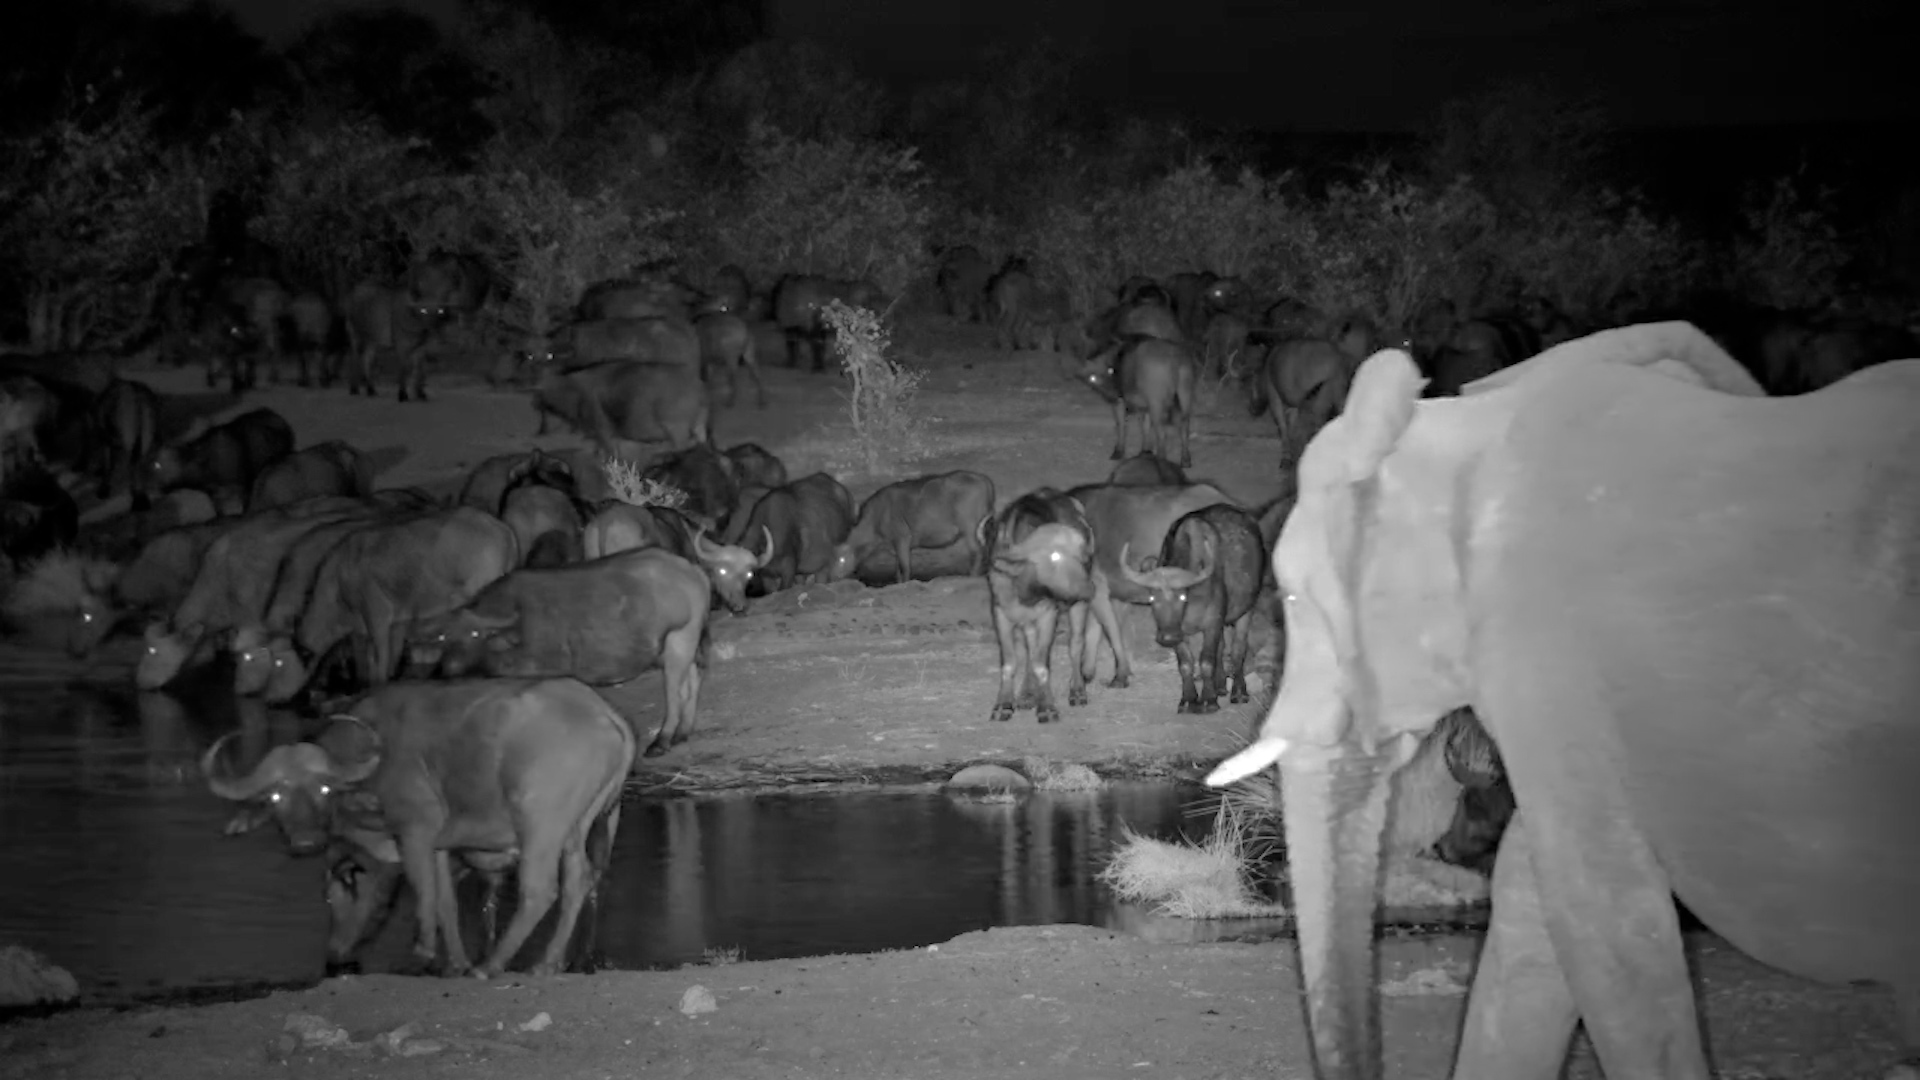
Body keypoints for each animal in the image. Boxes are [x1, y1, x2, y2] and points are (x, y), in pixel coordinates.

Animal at [204, 678, 632, 977]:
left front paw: (423, 955)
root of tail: (602, 714)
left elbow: (424, 892)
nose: (306, 842)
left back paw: (491, 965)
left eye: (324, 787)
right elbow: (445, 901)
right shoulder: (439, 844)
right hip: (583, 826)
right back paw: (546, 963)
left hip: (541, 826)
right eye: (274, 796)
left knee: (540, 890)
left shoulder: (415, 830)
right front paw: (454, 962)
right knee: (579, 881)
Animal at [407, 547, 711, 757]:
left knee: (675, 691)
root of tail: (690, 570)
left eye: (475, 635)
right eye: (443, 639)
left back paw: (663, 739)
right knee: (692, 681)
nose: (450, 669)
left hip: (679, 640)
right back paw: (683, 732)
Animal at [826, 470, 995, 584]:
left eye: (841, 559)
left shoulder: (902, 538)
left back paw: (973, 576)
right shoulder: (897, 545)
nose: (830, 578)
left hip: (970, 528)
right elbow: (898, 570)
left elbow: (905, 568)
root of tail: (983, 478)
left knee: (977, 551)